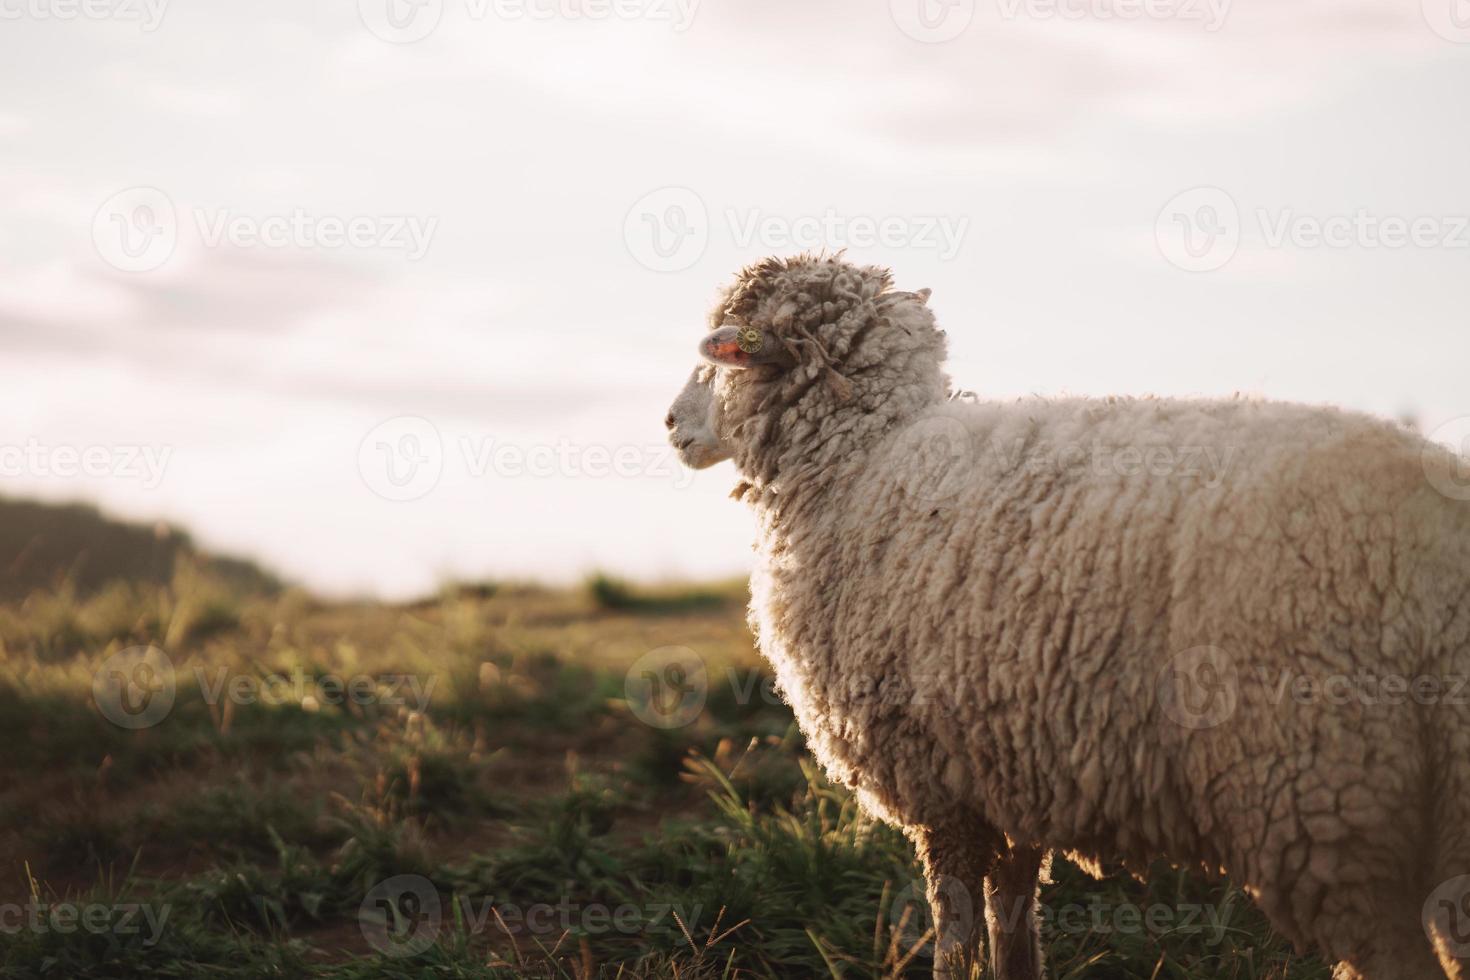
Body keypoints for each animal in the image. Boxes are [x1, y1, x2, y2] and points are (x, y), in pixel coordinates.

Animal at [664, 255, 1470, 980]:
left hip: (1323, 787)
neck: (859, 461)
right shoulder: (1014, 760)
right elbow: (1013, 914)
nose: (671, 424)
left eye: (719, 353)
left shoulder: (942, 780)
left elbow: (956, 926)